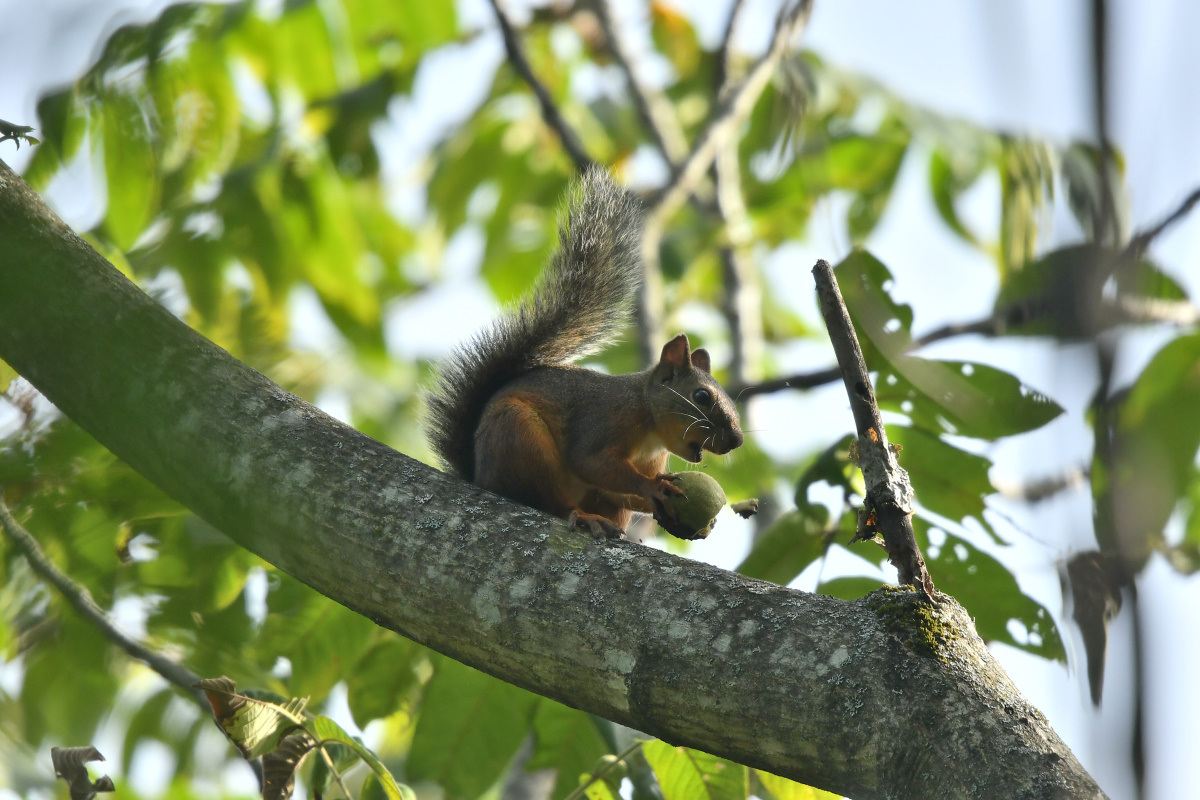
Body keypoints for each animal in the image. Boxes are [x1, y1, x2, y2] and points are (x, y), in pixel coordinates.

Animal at [422, 170, 739, 544]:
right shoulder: (604, 419)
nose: (736, 440)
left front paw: (658, 501)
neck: (649, 424)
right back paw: (584, 517)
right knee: (551, 501)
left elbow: (618, 489)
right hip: (520, 440)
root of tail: (481, 477)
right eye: (701, 396)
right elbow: (591, 462)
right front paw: (650, 488)